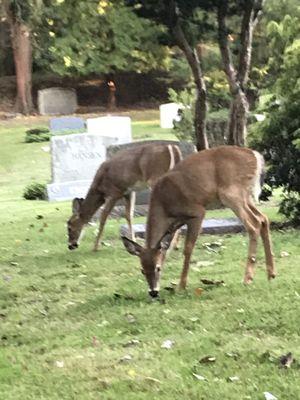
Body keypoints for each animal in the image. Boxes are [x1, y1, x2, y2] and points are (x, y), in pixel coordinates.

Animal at [120, 145, 276, 298]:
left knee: (254, 224)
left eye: (158, 268)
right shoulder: (176, 224)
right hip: (245, 196)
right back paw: (271, 274)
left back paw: (248, 278)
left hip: (231, 194)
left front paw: (181, 286)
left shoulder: (197, 212)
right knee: (264, 219)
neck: (164, 206)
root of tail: (256, 156)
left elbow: (188, 249)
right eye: (142, 270)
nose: (153, 292)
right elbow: (170, 246)